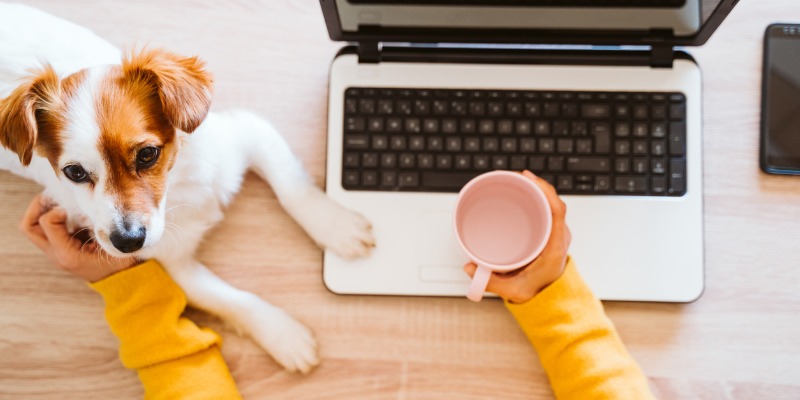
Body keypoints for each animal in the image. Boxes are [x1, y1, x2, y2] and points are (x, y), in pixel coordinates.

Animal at [0, 3, 376, 374]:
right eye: (75, 172)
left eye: (148, 154)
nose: (127, 242)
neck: (177, 190)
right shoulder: (172, 264)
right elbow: (230, 299)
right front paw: (283, 335)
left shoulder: (246, 133)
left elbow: (293, 189)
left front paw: (337, 228)